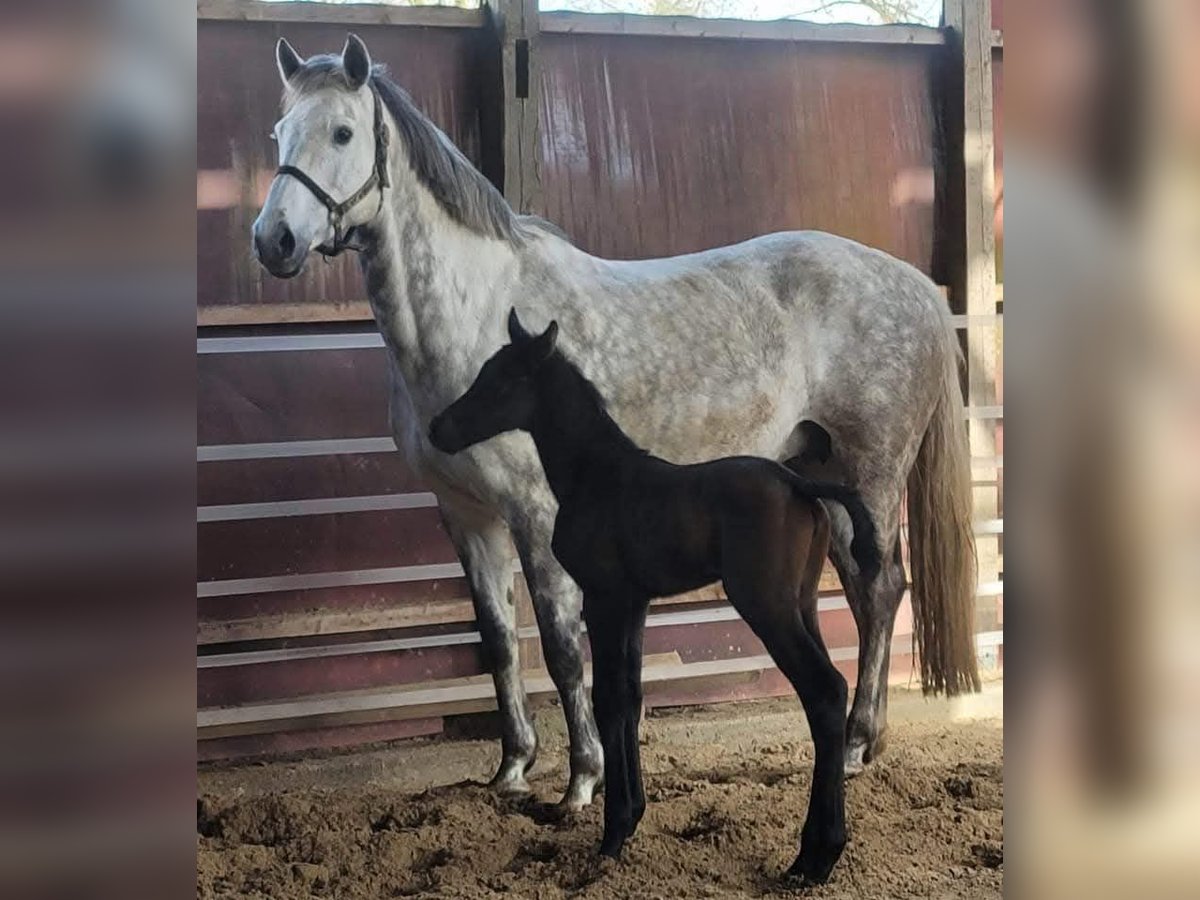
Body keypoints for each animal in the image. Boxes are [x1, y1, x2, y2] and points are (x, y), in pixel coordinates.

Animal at [250, 33, 974, 811]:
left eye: (342, 132)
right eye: (279, 132)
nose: (274, 240)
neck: (477, 313)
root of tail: (914, 285)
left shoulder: (536, 515)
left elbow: (562, 647)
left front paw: (582, 781)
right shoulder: (465, 514)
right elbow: (498, 640)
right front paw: (511, 768)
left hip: (873, 477)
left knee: (880, 588)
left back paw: (861, 744)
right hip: (820, 474)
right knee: (864, 594)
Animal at [432, 312, 883, 888]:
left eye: (504, 381)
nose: (439, 428)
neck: (597, 476)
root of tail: (801, 484)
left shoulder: (603, 598)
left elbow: (607, 698)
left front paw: (610, 835)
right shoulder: (634, 602)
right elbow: (629, 696)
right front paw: (630, 820)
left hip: (768, 605)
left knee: (824, 690)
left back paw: (814, 858)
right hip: (802, 605)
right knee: (828, 690)